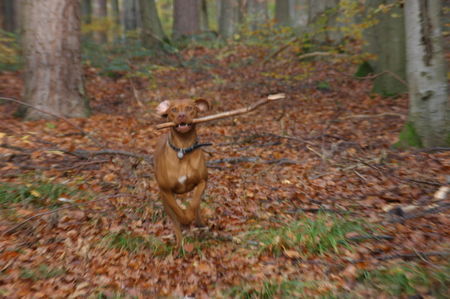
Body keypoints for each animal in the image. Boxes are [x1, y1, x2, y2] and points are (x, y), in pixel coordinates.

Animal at [155, 98, 211, 248]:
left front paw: (189, 215)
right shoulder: (166, 191)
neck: (183, 148)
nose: (181, 115)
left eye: (190, 108)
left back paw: (200, 223)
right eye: (173, 109)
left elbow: (195, 201)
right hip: (164, 201)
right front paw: (185, 219)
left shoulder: (202, 181)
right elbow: (178, 211)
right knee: (174, 221)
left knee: (197, 207)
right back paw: (179, 244)